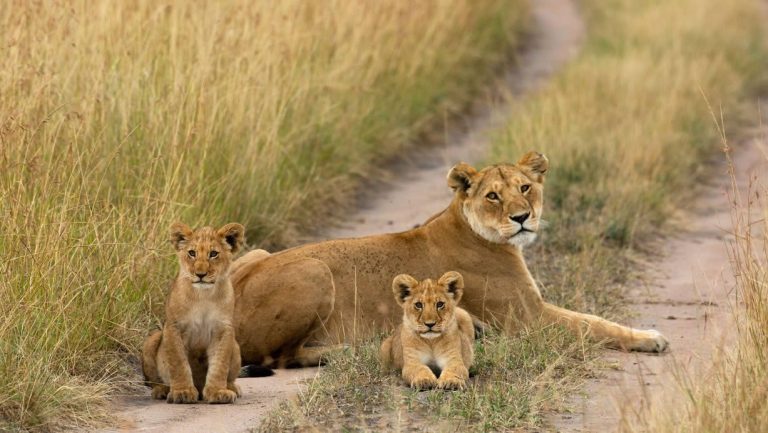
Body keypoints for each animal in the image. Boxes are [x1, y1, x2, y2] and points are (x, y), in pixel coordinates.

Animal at [141, 222, 247, 404]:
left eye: (213, 254)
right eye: (192, 253)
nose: (200, 274)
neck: (203, 295)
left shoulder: (223, 329)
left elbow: (219, 364)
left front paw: (217, 392)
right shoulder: (174, 327)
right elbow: (178, 362)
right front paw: (182, 392)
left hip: (235, 345)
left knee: (230, 375)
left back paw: (231, 387)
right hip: (152, 340)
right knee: (154, 381)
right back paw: (162, 390)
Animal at [231, 151, 668, 369]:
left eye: (525, 187)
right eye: (493, 196)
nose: (522, 217)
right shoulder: (528, 319)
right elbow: (593, 324)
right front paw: (650, 337)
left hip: (256, 253)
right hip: (314, 268)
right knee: (279, 357)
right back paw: (350, 351)